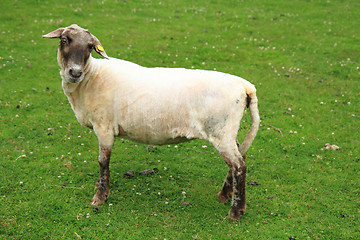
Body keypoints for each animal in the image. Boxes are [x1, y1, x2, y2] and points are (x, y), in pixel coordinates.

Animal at [43, 24, 260, 221]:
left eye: (89, 47)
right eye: (65, 40)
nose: (75, 73)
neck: (91, 77)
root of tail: (245, 86)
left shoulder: (104, 127)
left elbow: (103, 161)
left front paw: (100, 196)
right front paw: (99, 186)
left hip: (220, 131)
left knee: (239, 166)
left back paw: (236, 211)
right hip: (226, 132)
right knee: (239, 155)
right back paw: (224, 195)